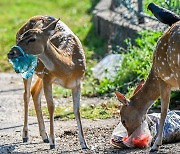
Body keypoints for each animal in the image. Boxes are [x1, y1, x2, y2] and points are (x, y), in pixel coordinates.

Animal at [7, 15, 88, 149]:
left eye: (32, 39)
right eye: (21, 37)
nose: (10, 53)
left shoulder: (78, 83)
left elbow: (77, 109)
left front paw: (84, 143)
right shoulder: (48, 77)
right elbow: (51, 106)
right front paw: (53, 142)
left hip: (40, 73)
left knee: (34, 92)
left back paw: (44, 136)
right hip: (33, 71)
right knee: (26, 94)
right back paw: (25, 135)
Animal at [114, 11, 179, 152]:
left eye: (123, 121)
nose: (129, 136)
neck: (154, 73)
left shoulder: (164, 81)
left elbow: (164, 111)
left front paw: (156, 145)